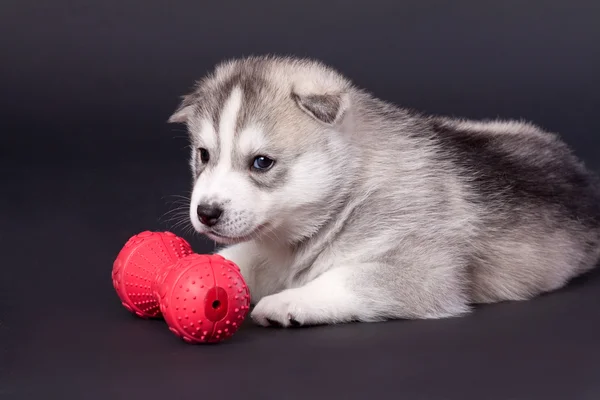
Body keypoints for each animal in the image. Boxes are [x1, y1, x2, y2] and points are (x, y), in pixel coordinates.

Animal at [168, 54, 600, 326]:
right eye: (203, 155)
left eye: (261, 162)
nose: (206, 213)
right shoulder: (267, 249)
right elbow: (235, 258)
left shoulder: (422, 273)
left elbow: (345, 279)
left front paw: (288, 300)